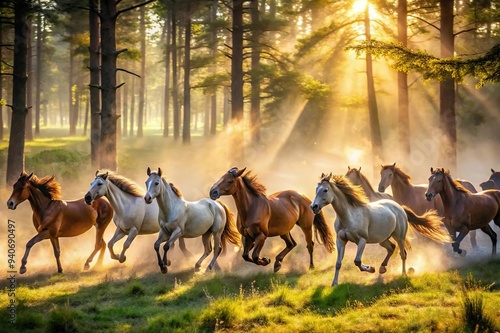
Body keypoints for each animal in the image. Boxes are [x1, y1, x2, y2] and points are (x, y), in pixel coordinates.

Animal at [310, 172, 452, 284]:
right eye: (316, 189)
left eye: (325, 190)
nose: (314, 207)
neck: (348, 216)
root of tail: (399, 206)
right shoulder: (341, 240)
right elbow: (338, 263)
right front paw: (334, 283)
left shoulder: (361, 240)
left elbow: (357, 261)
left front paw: (371, 269)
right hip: (383, 239)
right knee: (391, 248)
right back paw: (382, 268)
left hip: (399, 237)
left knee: (402, 254)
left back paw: (403, 274)